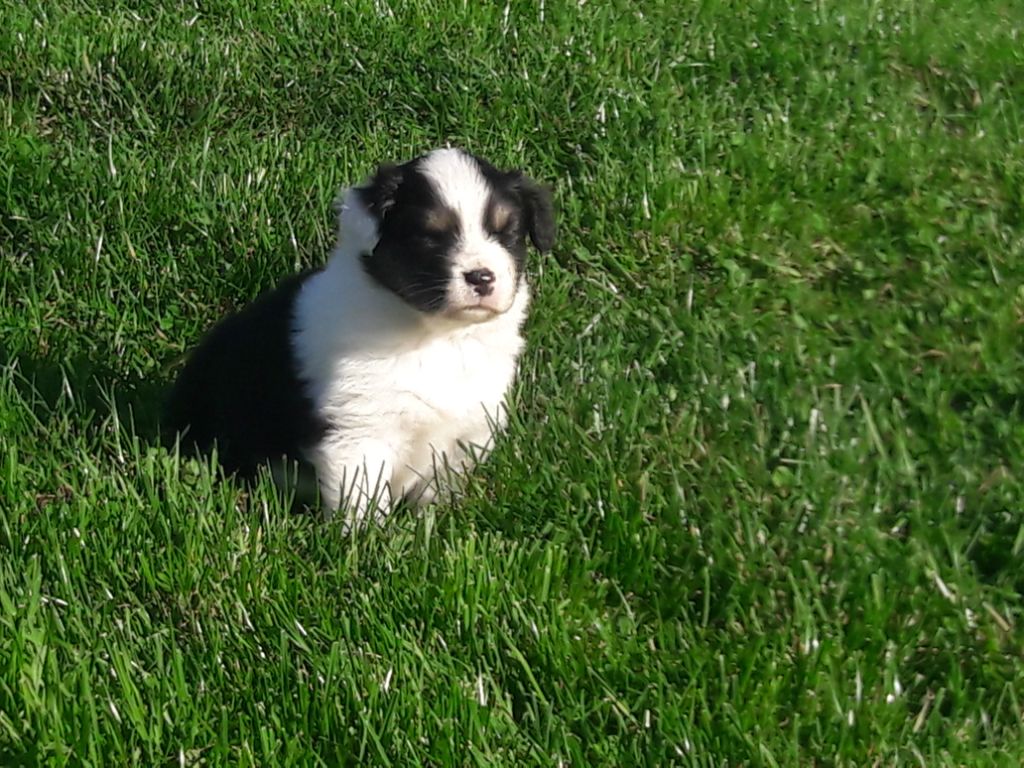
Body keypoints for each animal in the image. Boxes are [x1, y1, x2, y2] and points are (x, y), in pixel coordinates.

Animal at [164, 148, 555, 524]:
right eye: (430, 236)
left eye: (506, 232)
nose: (482, 277)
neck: (438, 336)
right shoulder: (358, 431)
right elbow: (361, 497)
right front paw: (366, 540)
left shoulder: (467, 431)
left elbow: (439, 490)